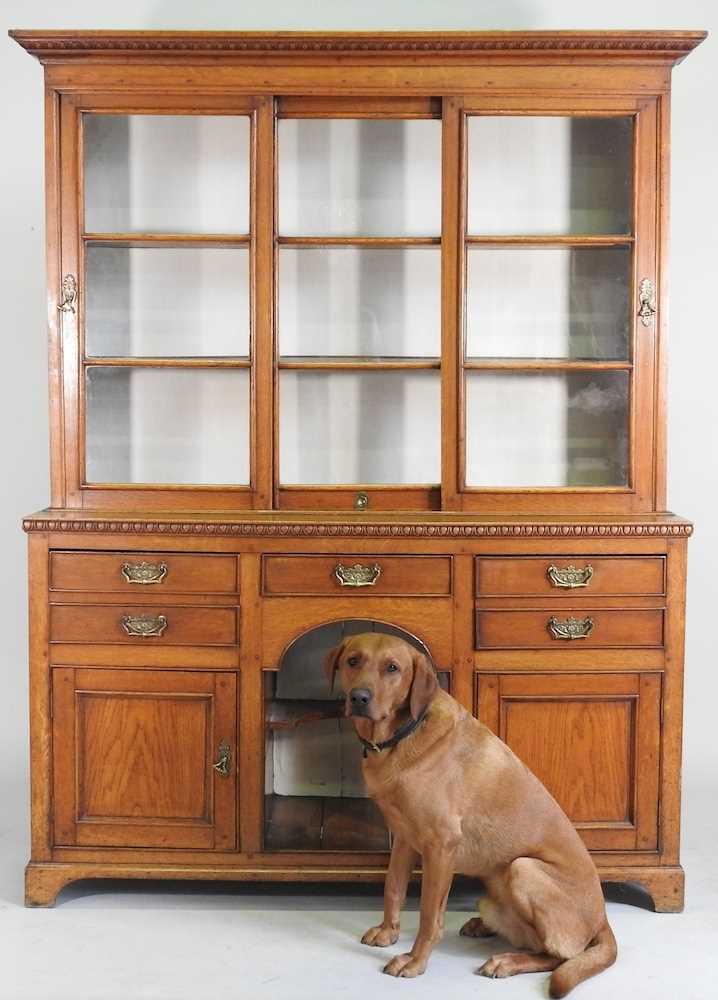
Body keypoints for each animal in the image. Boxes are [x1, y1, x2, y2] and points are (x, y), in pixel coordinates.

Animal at [328, 636, 620, 996]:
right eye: (353, 661)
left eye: (392, 668)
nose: (359, 697)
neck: (403, 734)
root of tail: (603, 919)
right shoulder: (404, 839)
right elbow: (393, 888)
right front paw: (388, 932)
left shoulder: (440, 847)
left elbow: (429, 916)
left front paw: (414, 961)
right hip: (492, 894)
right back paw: (485, 927)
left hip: (522, 868)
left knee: (558, 955)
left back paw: (506, 961)